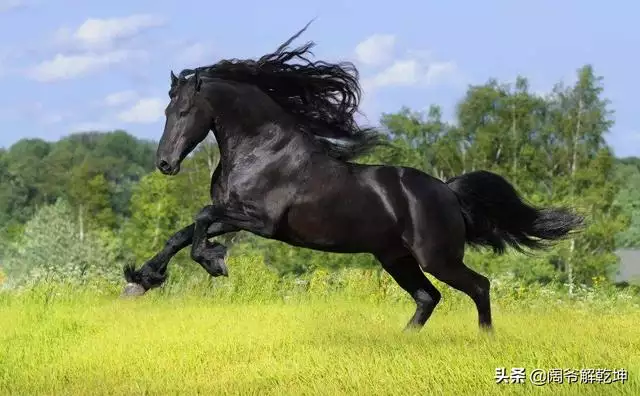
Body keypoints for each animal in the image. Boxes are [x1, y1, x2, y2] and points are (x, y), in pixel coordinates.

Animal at [121, 24, 584, 334]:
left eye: (184, 110)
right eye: (166, 110)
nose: (165, 164)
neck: (261, 150)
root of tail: (448, 191)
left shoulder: (260, 221)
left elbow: (199, 219)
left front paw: (213, 261)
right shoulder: (233, 215)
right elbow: (181, 233)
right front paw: (141, 281)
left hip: (437, 257)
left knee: (478, 286)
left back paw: (485, 340)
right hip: (396, 258)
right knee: (428, 297)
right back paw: (402, 341)